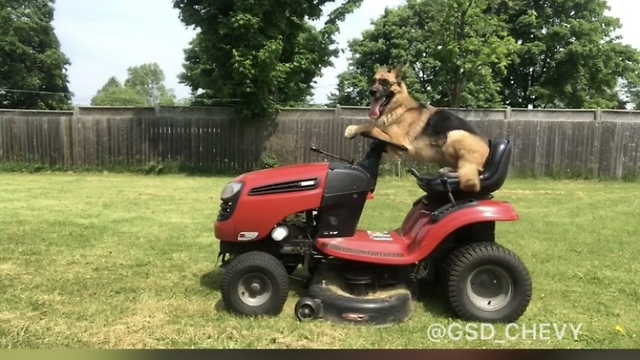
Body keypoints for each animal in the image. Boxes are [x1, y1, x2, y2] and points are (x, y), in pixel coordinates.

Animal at [344, 64, 490, 194]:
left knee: (473, 169)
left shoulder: (397, 140)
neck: (398, 108)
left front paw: (352, 130)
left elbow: (371, 126)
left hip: (455, 135)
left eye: (385, 82)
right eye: (374, 81)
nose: (371, 91)